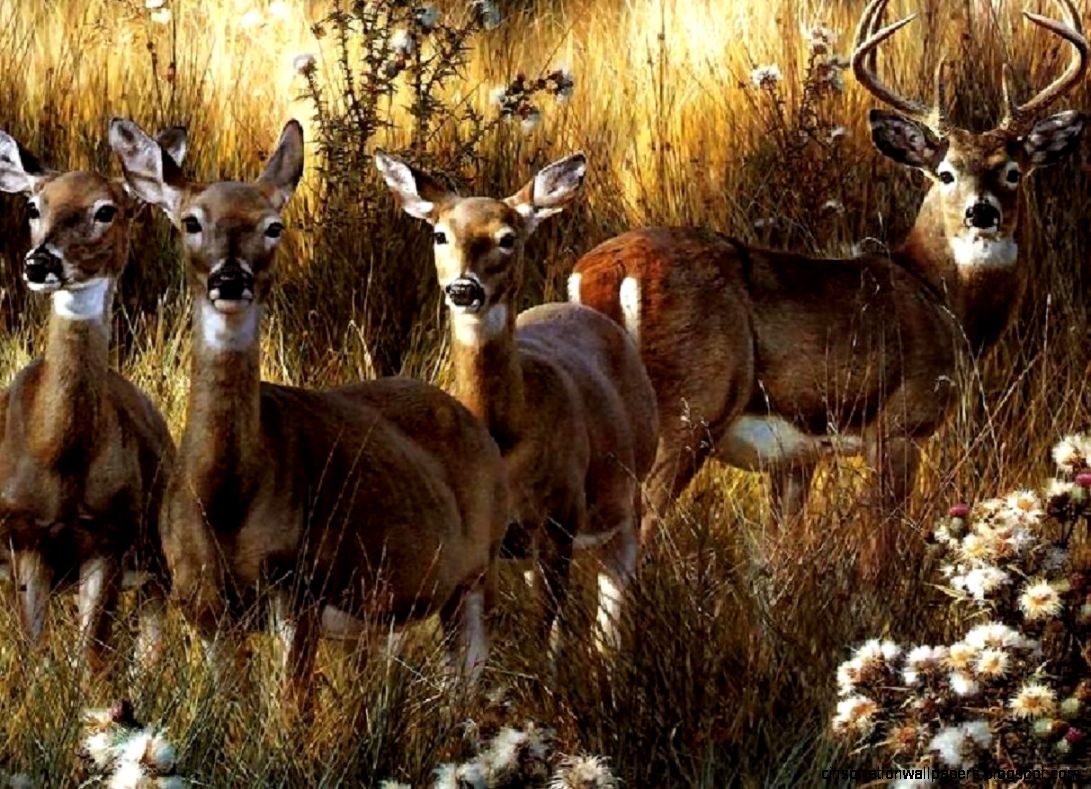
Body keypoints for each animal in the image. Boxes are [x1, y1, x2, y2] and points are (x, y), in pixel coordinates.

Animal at [0, 126, 185, 672]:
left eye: (106, 210)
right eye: (34, 205)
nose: (40, 262)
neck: (58, 456)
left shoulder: (108, 537)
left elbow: (91, 660)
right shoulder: (23, 535)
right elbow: (34, 652)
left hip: (157, 560)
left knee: (149, 651)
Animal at [108, 118, 509, 707]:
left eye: (273, 225)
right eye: (190, 222)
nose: (230, 279)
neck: (228, 497)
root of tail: (471, 421)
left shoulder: (300, 588)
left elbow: (288, 714)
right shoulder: (202, 603)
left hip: (476, 574)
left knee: (468, 684)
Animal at [375, 150, 658, 653]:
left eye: (507, 238)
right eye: (440, 234)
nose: (463, 289)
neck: (506, 433)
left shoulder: (559, 515)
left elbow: (541, 626)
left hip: (627, 492)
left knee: (613, 590)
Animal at [568, 0, 1087, 570]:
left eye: (1013, 171)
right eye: (946, 172)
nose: (982, 212)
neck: (939, 298)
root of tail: (601, 272)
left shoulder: (794, 459)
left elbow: (775, 562)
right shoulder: (901, 424)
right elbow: (879, 549)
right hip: (689, 407)